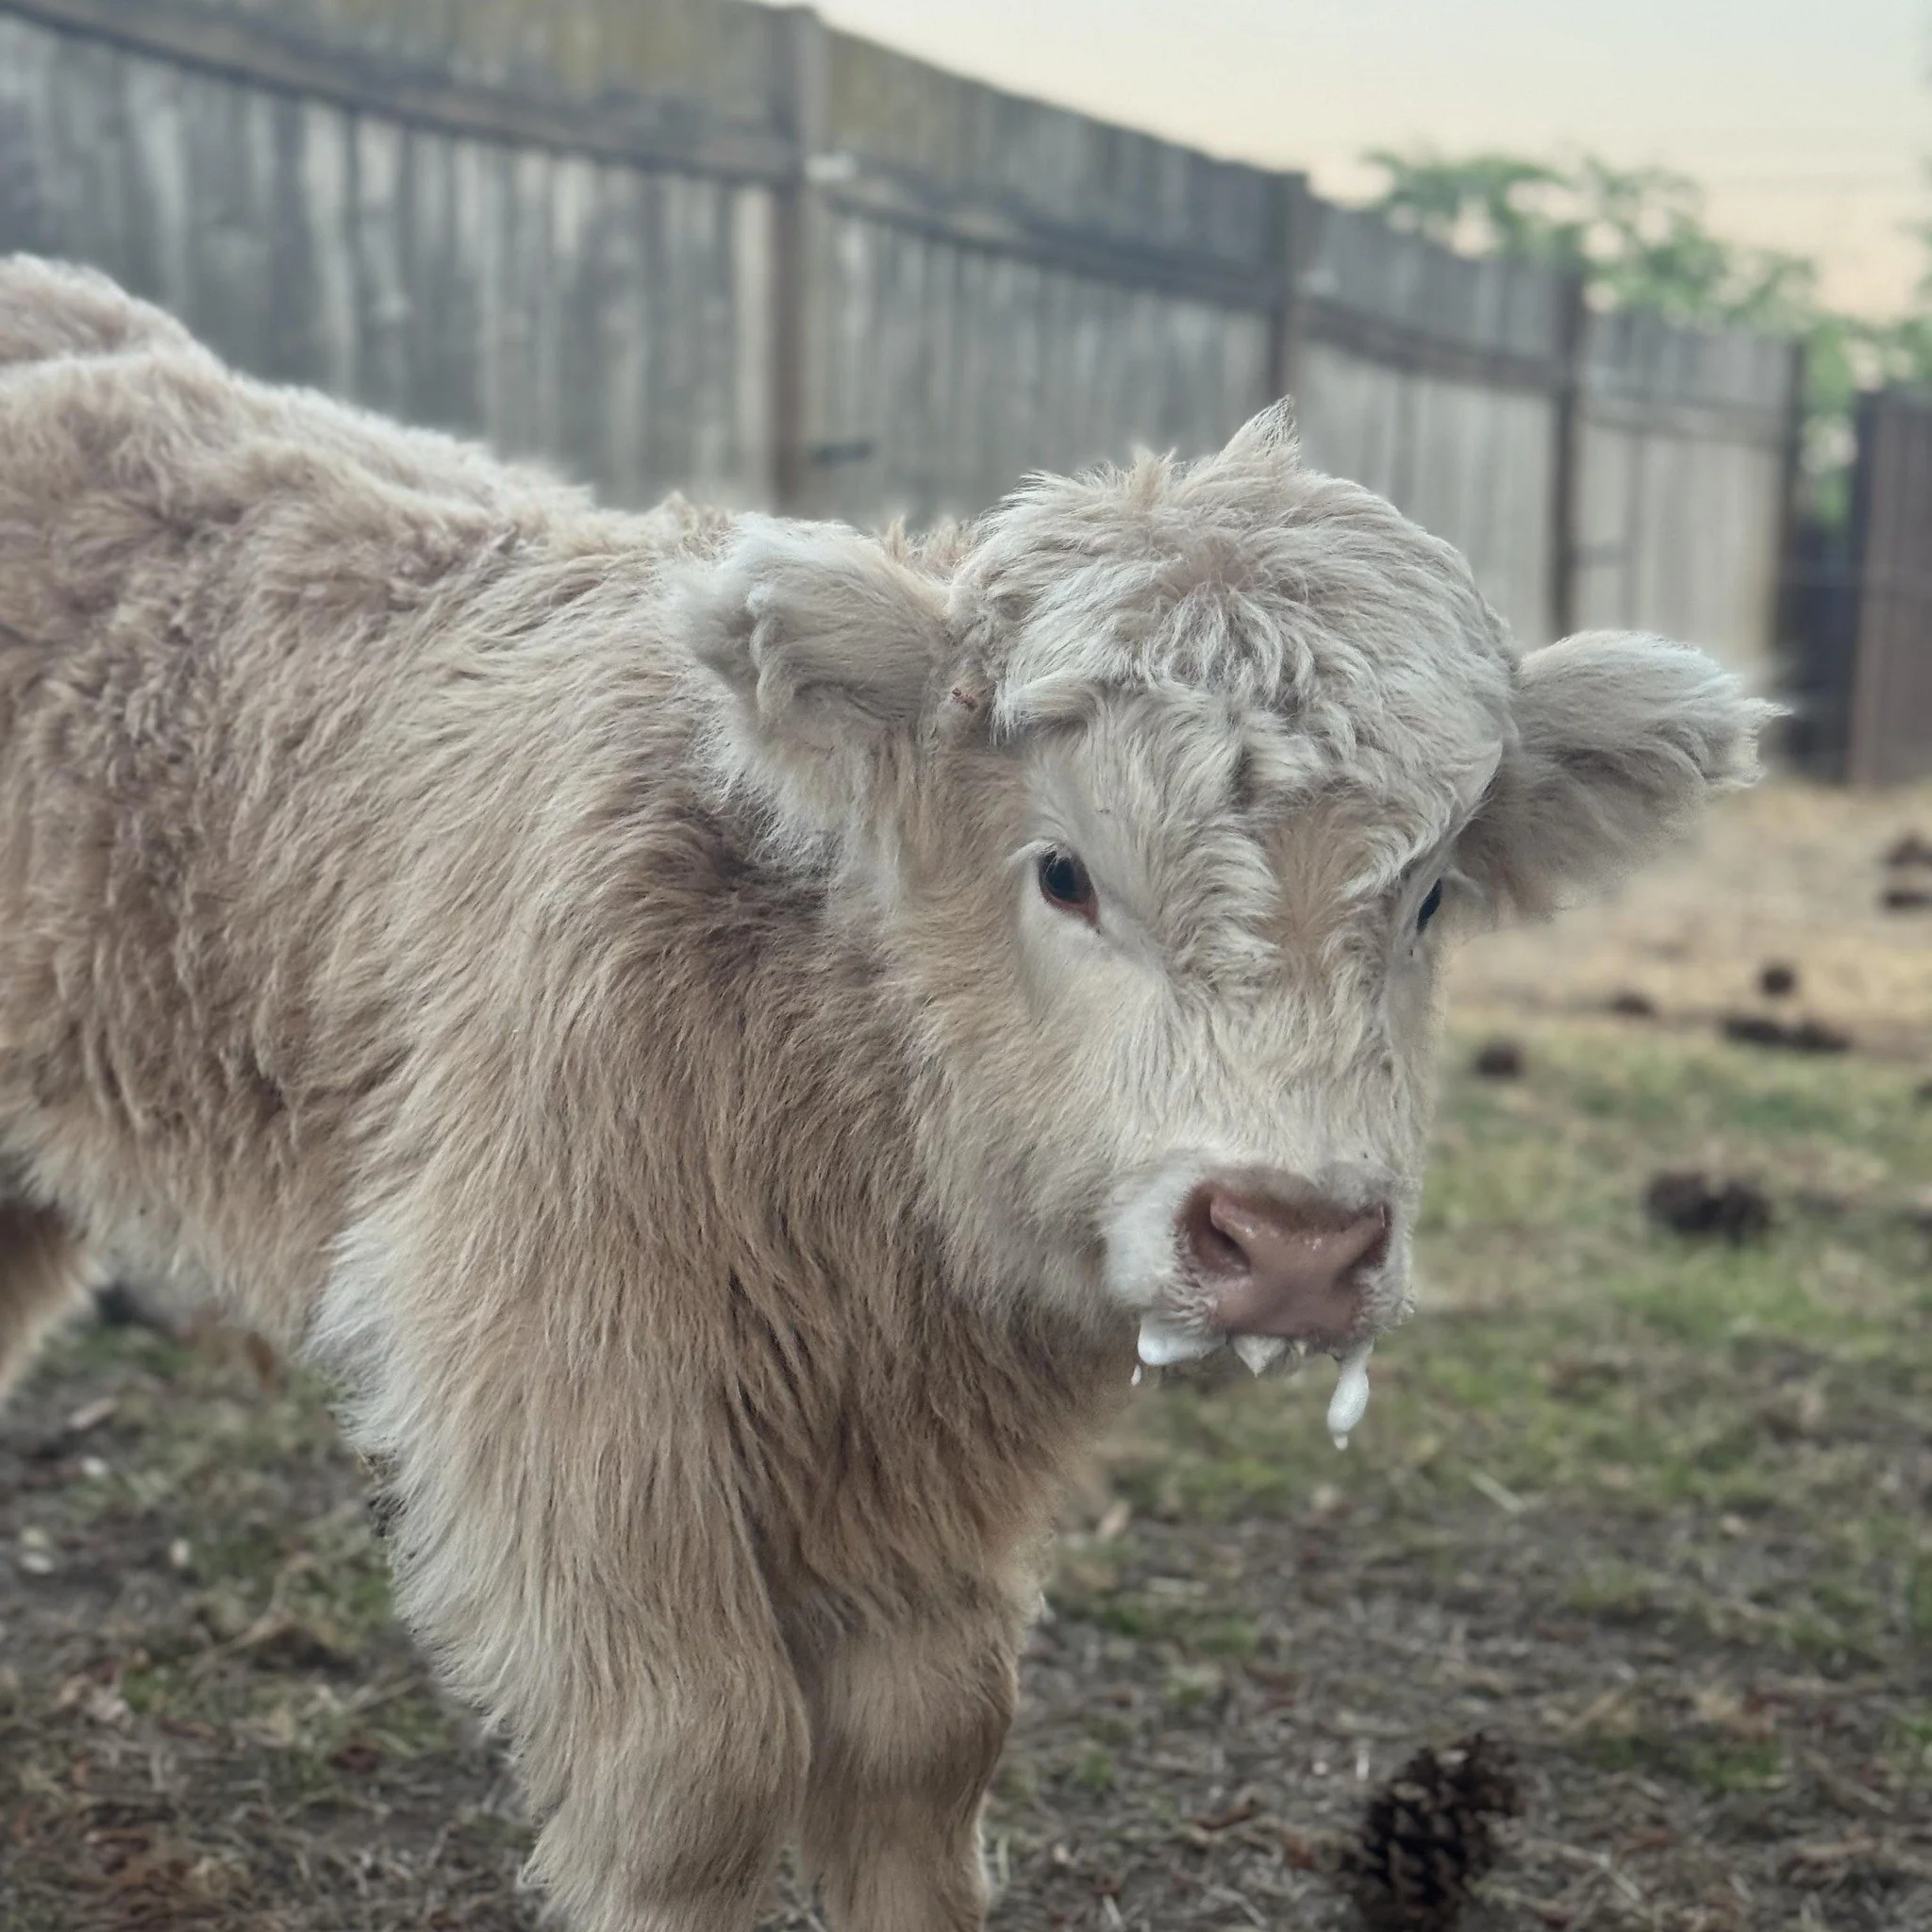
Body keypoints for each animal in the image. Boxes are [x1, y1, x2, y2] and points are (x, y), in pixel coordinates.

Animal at [0, 257, 1769, 1932]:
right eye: (1061, 870)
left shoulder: (922, 1445)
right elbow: (694, 1767)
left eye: (1429, 897)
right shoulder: (557, 1369)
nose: (1291, 1239)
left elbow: (929, 1741)